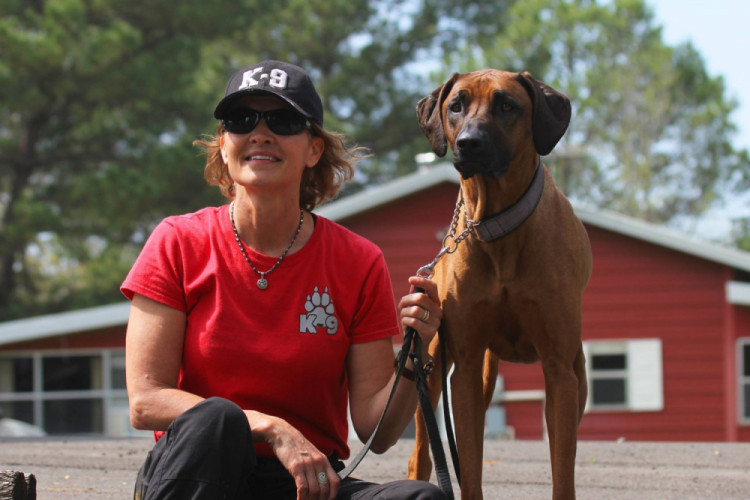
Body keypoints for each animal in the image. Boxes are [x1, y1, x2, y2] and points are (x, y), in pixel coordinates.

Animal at [407, 69, 593, 500]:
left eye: (507, 105)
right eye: (456, 105)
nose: (468, 143)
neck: (496, 224)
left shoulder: (560, 370)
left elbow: (563, 468)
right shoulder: (465, 367)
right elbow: (470, 467)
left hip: (575, 375)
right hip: (431, 364)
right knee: (421, 453)